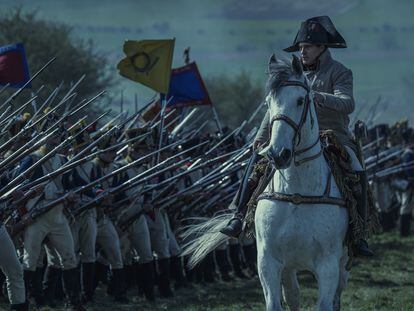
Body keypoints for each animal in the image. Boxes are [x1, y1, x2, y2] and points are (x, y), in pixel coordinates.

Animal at [183, 54, 348, 311]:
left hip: (341, 262)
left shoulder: (328, 265)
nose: (277, 154)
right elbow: (276, 302)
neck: (297, 193)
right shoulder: (269, 262)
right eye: (269, 102)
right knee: (293, 295)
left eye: (301, 100)